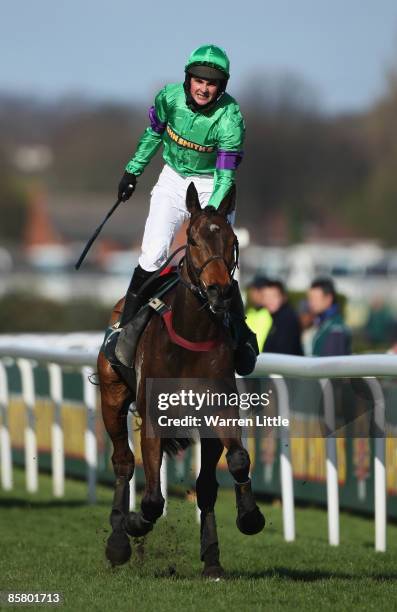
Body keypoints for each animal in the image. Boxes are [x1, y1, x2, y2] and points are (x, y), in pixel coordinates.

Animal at [97, 184, 264, 576]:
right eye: (192, 239)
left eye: (233, 241)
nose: (219, 290)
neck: (191, 335)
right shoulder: (153, 416)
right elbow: (152, 498)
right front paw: (135, 523)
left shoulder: (219, 412)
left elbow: (235, 462)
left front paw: (248, 518)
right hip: (112, 398)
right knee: (123, 462)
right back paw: (118, 542)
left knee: (204, 486)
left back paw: (212, 560)